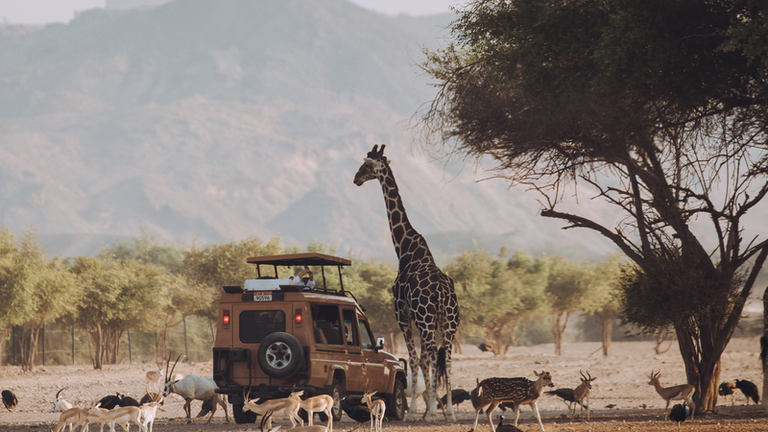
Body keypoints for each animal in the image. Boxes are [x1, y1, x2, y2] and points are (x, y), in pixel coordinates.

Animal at [356, 143, 462, 420]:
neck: (404, 249)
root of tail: (442, 290)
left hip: (427, 320)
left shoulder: (402, 315)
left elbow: (413, 359)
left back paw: (434, 411)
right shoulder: (421, 319)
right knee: (447, 355)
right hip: (449, 321)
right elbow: (424, 359)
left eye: (366, 165)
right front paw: (427, 408)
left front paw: (414, 408)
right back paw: (449, 412)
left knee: (433, 355)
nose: (355, 178)